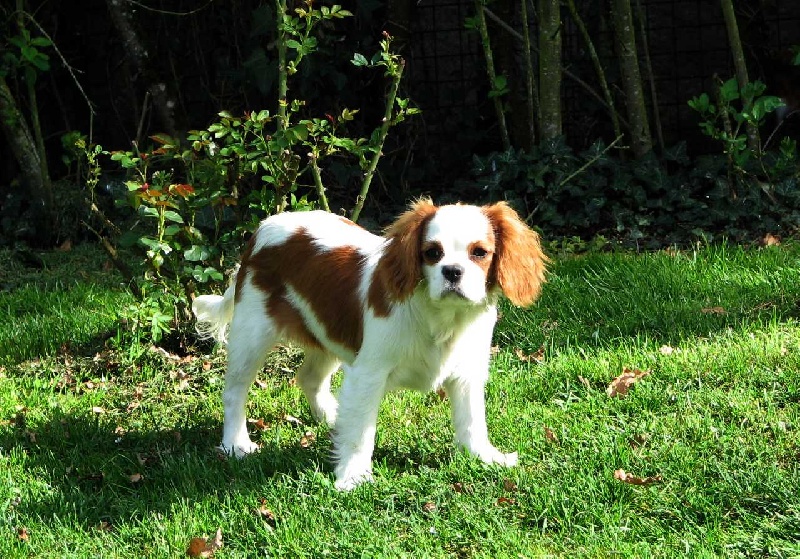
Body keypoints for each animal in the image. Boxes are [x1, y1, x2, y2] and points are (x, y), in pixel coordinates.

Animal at [192, 198, 547, 490]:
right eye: (432, 253)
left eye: (480, 253)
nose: (452, 271)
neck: (442, 317)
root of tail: (262, 229)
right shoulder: (369, 373)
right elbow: (362, 431)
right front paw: (353, 476)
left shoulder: (467, 372)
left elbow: (472, 421)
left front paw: (485, 457)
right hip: (253, 333)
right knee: (235, 391)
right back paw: (236, 444)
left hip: (328, 329)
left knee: (309, 378)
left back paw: (333, 418)